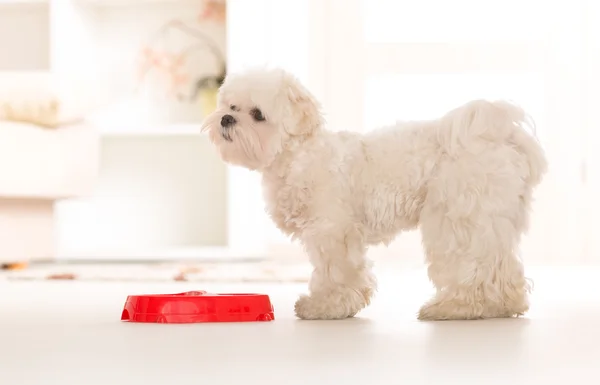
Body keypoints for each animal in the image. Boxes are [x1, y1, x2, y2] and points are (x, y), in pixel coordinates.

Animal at [202, 67, 548, 320]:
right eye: (231, 106)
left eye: (258, 114)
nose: (226, 118)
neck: (299, 154)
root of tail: (500, 136)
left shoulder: (332, 230)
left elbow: (335, 271)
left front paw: (326, 306)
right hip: (489, 218)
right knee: (503, 266)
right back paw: (502, 306)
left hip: (459, 218)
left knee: (475, 264)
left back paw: (458, 308)